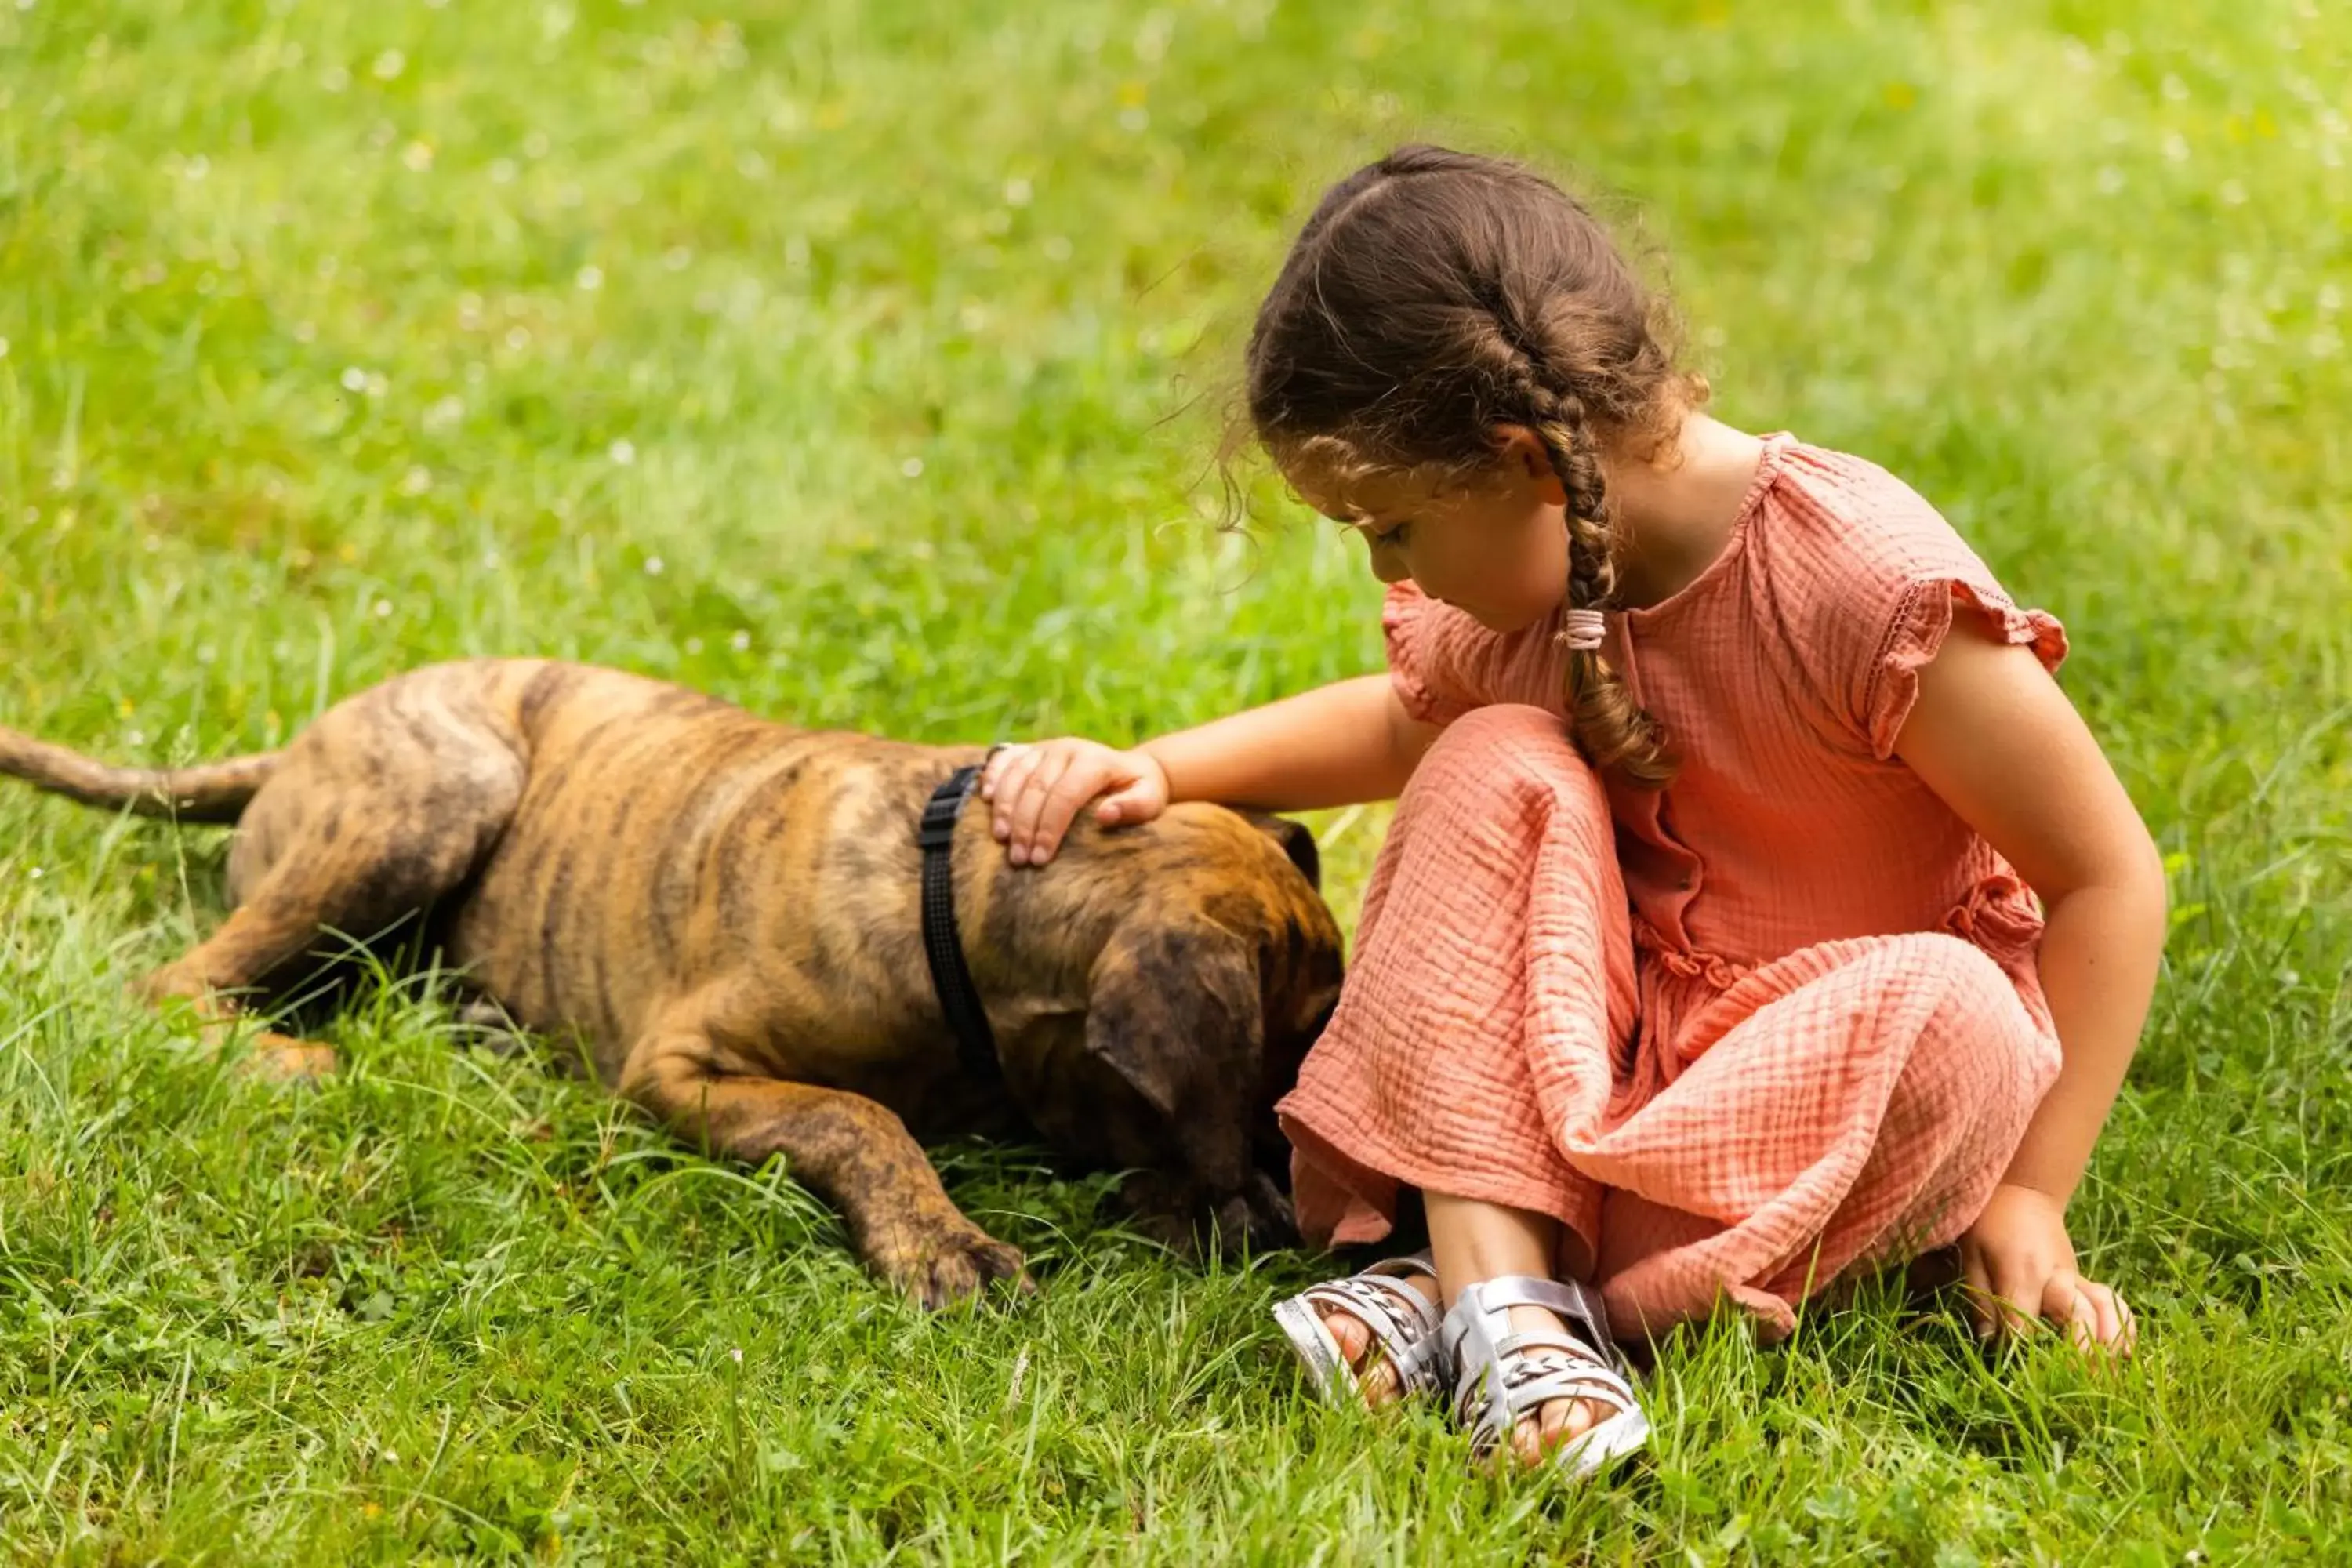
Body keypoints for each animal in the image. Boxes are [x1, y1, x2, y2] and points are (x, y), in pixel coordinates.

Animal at [0, 662, 1355, 1316]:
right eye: (1289, 1046)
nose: (1291, 1194)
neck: (951, 894)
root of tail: (297, 748)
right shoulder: (683, 1067)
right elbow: (858, 1118)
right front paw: (942, 1240)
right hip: (438, 792)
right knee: (172, 983)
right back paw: (289, 1056)